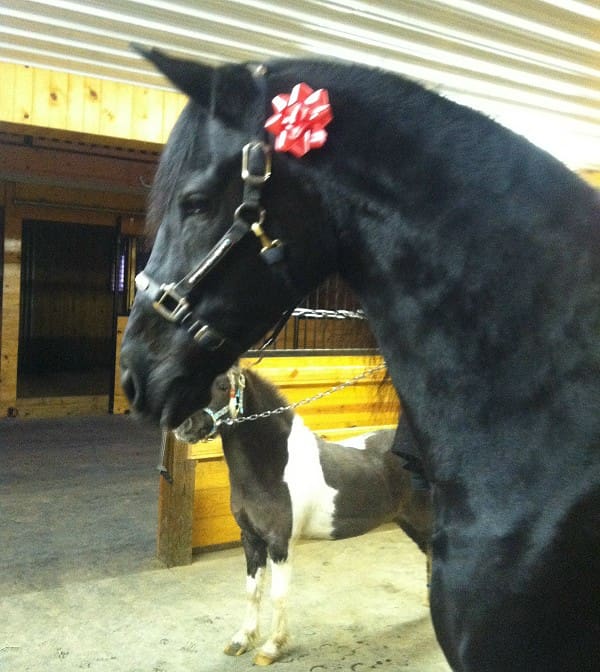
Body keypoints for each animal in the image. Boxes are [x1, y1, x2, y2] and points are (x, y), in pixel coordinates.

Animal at [173, 368, 432, 668]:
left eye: (223, 385)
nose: (183, 427)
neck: (274, 465)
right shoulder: (251, 539)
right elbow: (252, 590)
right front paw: (242, 640)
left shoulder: (280, 544)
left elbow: (278, 595)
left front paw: (272, 647)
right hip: (409, 522)